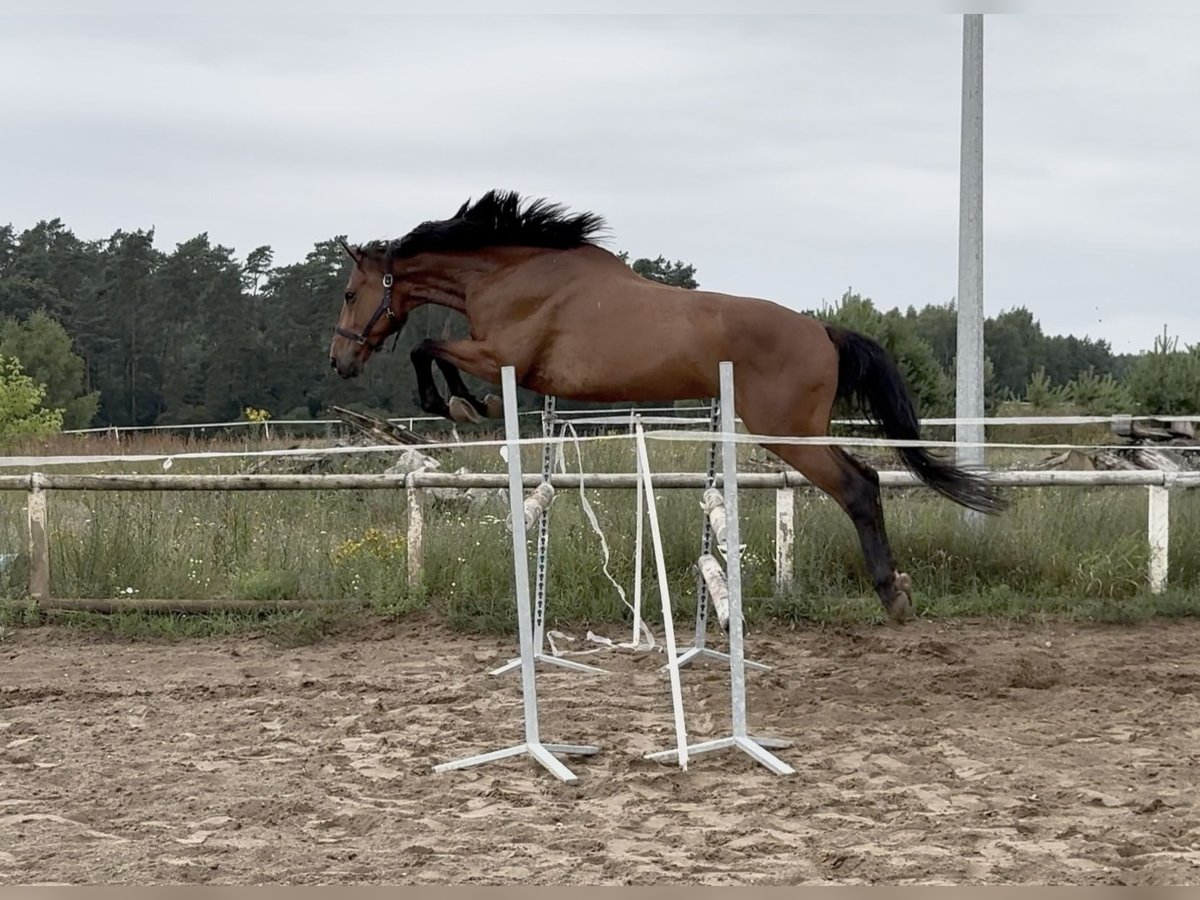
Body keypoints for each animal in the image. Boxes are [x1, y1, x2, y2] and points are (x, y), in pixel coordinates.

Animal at [329, 189, 1006, 624]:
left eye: (351, 293)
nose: (340, 362)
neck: (511, 273)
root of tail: (824, 331)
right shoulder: (497, 355)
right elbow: (436, 350)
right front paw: (468, 403)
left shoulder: (501, 353)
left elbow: (428, 348)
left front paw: (461, 404)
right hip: (798, 431)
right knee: (866, 479)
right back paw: (895, 589)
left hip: (786, 433)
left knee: (859, 486)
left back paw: (893, 596)